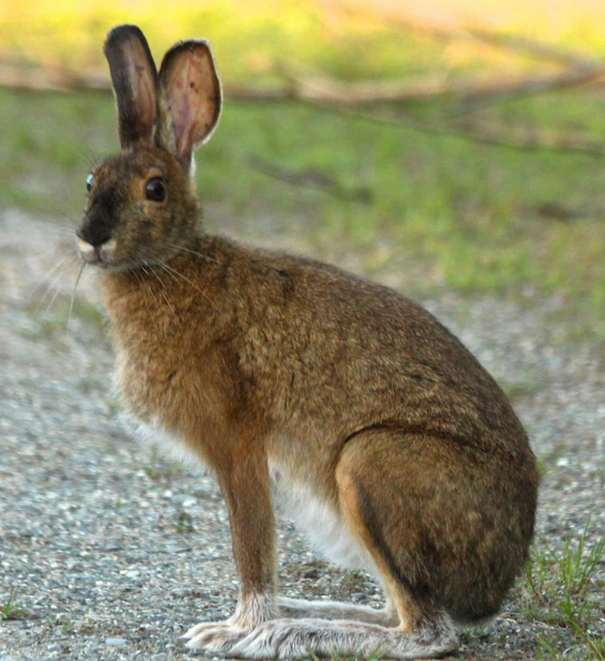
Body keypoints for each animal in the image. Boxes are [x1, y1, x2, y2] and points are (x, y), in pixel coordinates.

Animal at [76, 24, 539, 660]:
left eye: (155, 188)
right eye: (90, 181)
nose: (91, 238)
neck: (174, 264)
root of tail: (497, 583)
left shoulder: (238, 447)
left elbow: (253, 551)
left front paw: (234, 630)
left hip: (371, 466)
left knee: (426, 632)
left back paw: (286, 631)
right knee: (400, 612)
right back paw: (306, 615)